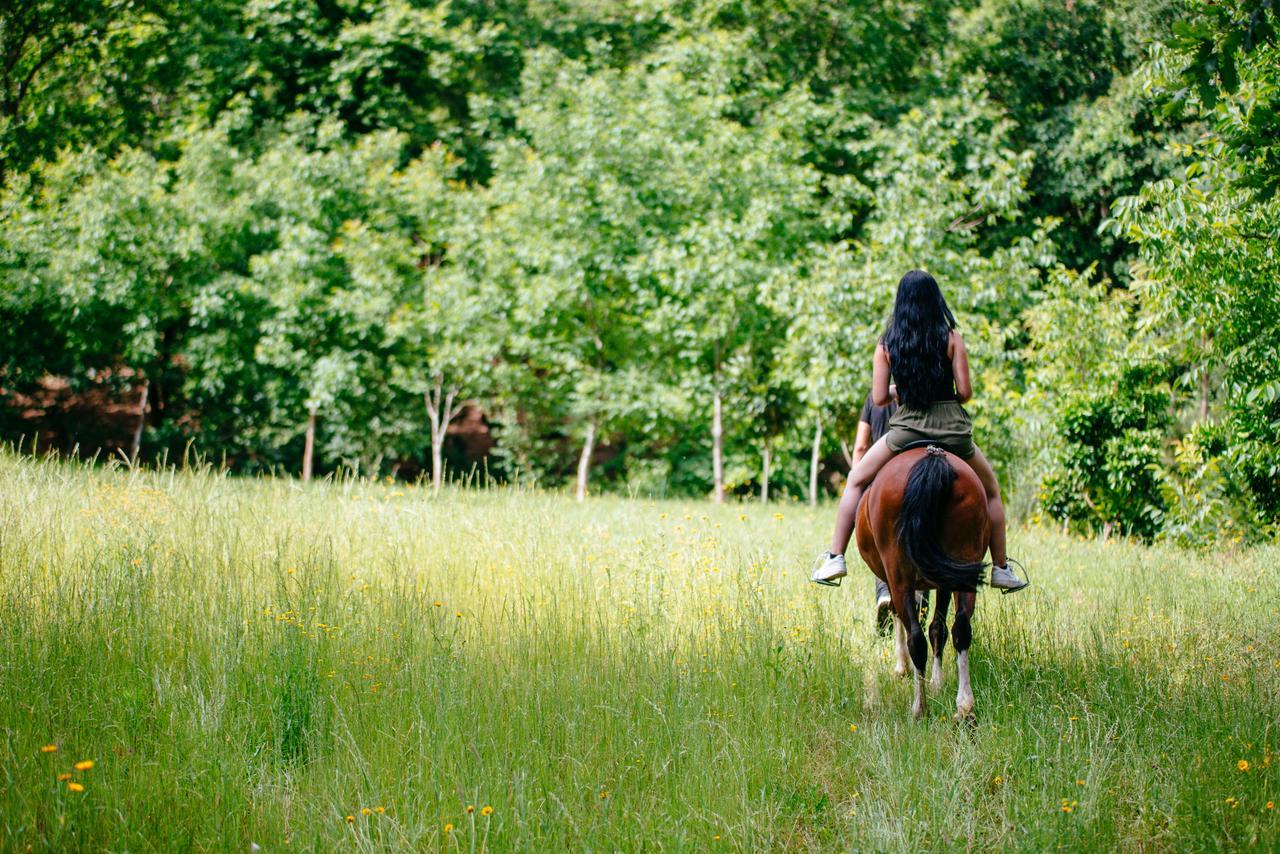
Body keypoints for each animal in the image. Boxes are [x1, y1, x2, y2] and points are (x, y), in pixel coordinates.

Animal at [860, 445, 988, 717]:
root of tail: (932, 458)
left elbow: (903, 617)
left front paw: (903, 668)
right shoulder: (943, 581)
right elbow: (938, 628)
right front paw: (938, 683)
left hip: (900, 575)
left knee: (916, 639)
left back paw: (920, 708)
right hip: (963, 565)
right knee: (961, 628)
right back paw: (964, 707)